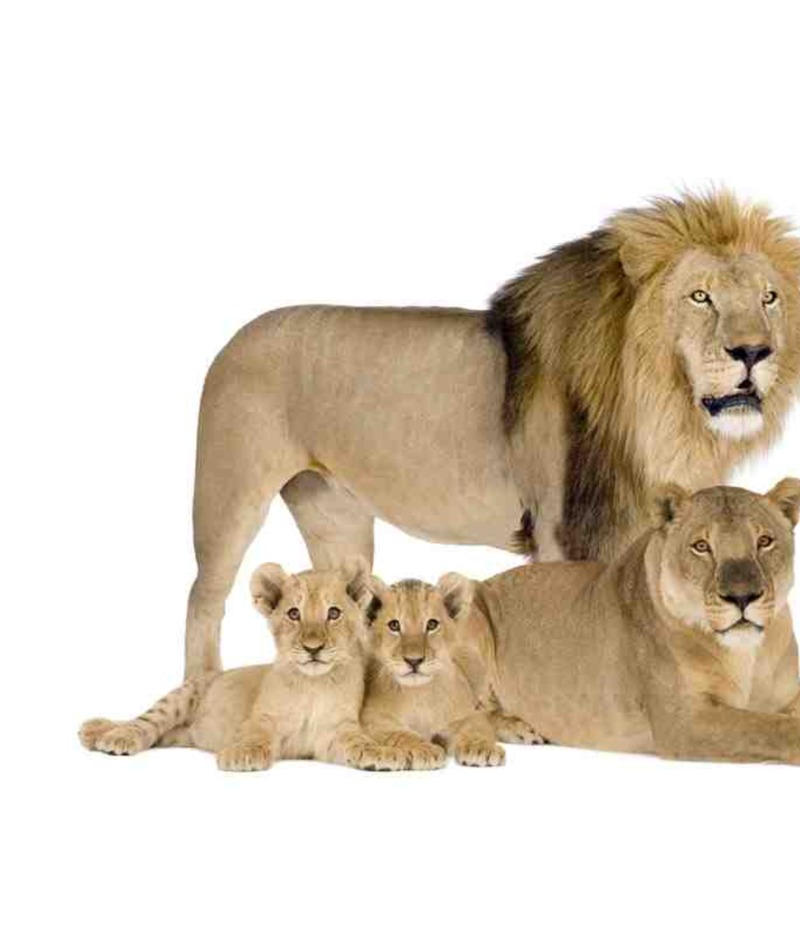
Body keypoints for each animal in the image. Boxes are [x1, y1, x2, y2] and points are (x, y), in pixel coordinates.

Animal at [80, 561, 405, 771]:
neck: (312, 684)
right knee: (145, 721)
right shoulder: (261, 717)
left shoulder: (335, 731)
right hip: (181, 697)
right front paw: (242, 755)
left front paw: (380, 753)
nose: (313, 648)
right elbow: (254, 734)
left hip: (181, 734)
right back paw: (111, 734)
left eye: (334, 613)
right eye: (294, 614)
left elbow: (357, 741)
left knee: (161, 735)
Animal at [181, 190, 800, 675]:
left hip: (336, 515)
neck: (661, 410)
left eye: (769, 298)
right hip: (230, 496)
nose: (754, 352)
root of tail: (235, 336)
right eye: (700, 296)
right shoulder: (562, 530)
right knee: (203, 598)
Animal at [359, 576, 542, 768]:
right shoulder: (372, 720)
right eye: (394, 625)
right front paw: (425, 750)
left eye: (432, 624)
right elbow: (400, 734)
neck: (420, 694)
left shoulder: (466, 715)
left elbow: (476, 729)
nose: (414, 660)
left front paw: (482, 749)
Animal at [463, 480, 800, 764]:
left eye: (765, 541)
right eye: (701, 546)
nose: (743, 597)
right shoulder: (683, 720)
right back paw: (516, 729)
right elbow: (766, 727)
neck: (748, 655)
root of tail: (485, 580)